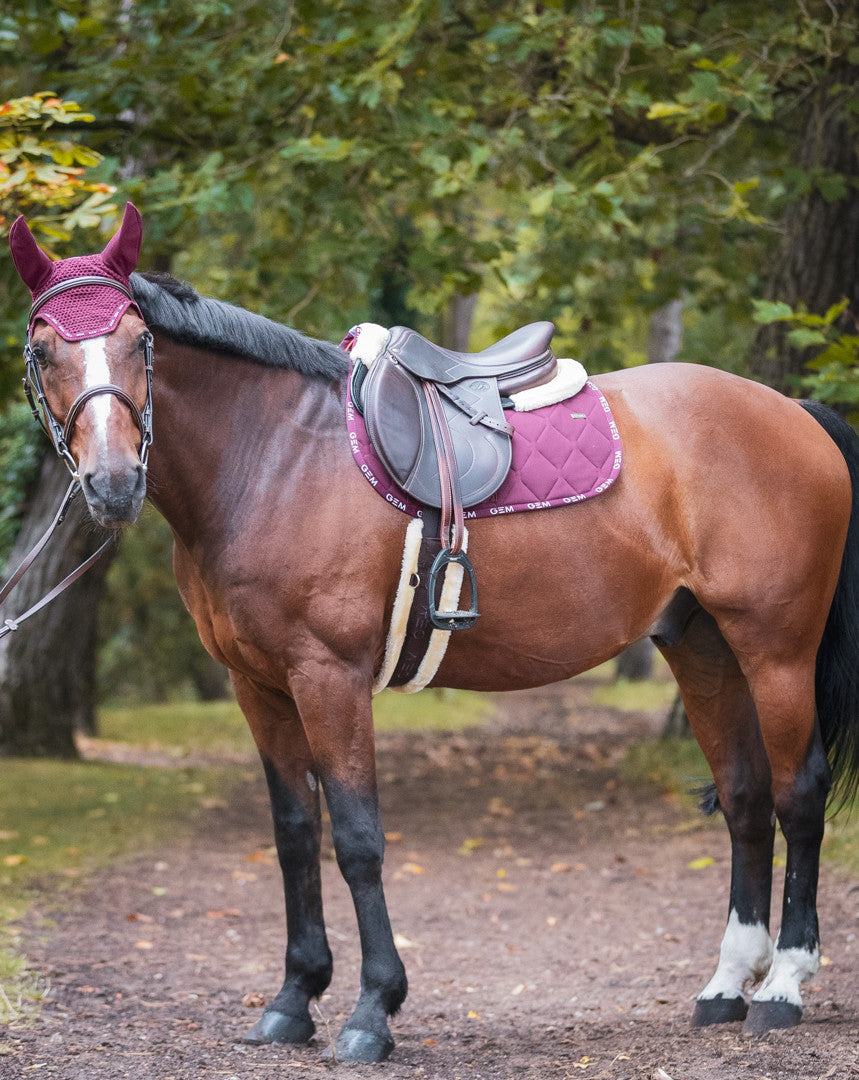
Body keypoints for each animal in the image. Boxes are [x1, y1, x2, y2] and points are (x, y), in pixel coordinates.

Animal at [6, 208, 859, 1062]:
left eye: (139, 341)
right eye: (42, 351)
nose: (113, 484)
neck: (273, 456)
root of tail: (793, 411)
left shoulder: (330, 677)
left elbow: (356, 837)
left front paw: (371, 1009)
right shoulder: (259, 686)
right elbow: (293, 834)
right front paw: (293, 998)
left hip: (776, 650)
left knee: (798, 794)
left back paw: (783, 984)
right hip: (703, 648)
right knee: (745, 796)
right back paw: (725, 985)